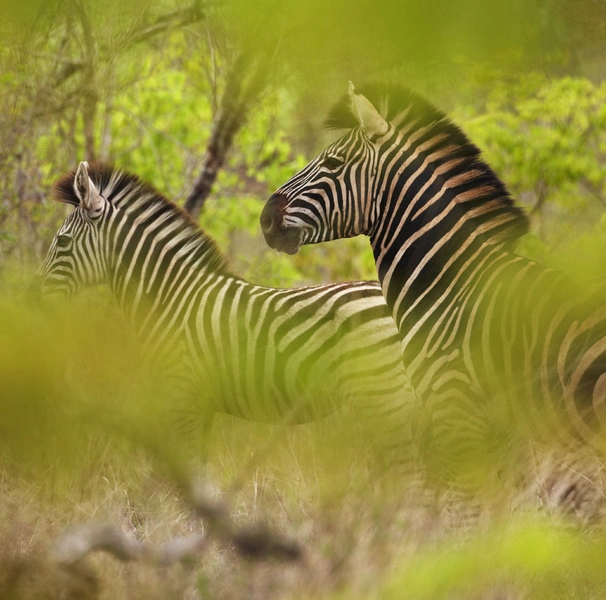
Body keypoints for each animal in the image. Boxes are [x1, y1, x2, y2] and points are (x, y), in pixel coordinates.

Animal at [34, 162, 418, 472]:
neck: (171, 296)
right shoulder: (202, 406)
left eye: (62, 243)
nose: (36, 297)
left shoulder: (183, 399)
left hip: (383, 395)